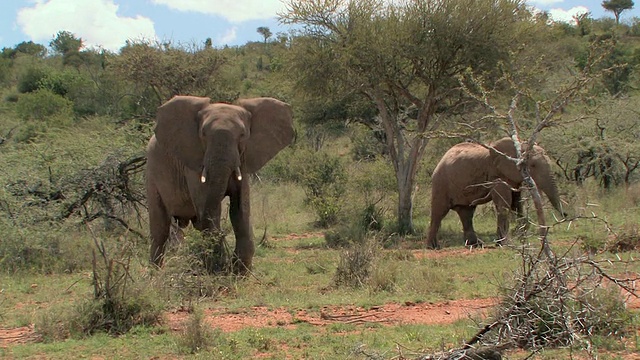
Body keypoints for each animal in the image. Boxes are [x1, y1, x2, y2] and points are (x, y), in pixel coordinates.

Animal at [146, 95, 294, 270]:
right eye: (203, 134)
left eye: (243, 135)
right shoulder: (193, 163)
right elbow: (212, 209)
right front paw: (218, 268)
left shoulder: (243, 160)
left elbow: (240, 209)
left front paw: (239, 271)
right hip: (151, 172)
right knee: (159, 230)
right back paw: (155, 273)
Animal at [424, 136, 564, 249]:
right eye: (533, 165)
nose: (565, 215)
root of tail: (442, 158)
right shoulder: (497, 175)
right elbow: (504, 204)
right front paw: (504, 244)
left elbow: (516, 203)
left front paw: (521, 236)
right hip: (441, 182)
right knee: (439, 212)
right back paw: (433, 247)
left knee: (466, 213)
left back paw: (475, 245)